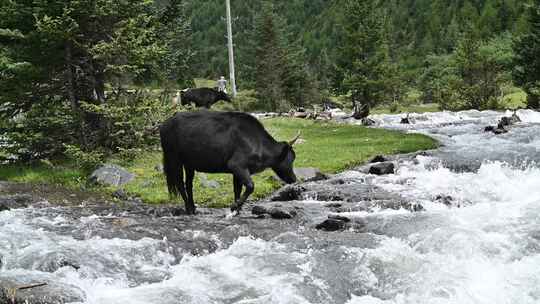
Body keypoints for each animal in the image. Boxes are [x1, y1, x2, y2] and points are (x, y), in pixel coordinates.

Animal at [159, 111, 300, 214]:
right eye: (290, 158)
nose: (294, 179)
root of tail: (164, 124)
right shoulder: (237, 165)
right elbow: (250, 186)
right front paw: (234, 206)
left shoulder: (237, 171)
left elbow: (237, 189)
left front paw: (237, 209)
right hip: (173, 158)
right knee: (179, 182)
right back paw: (188, 208)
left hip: (189, 164)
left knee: (188, 184)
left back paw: (193, 208)